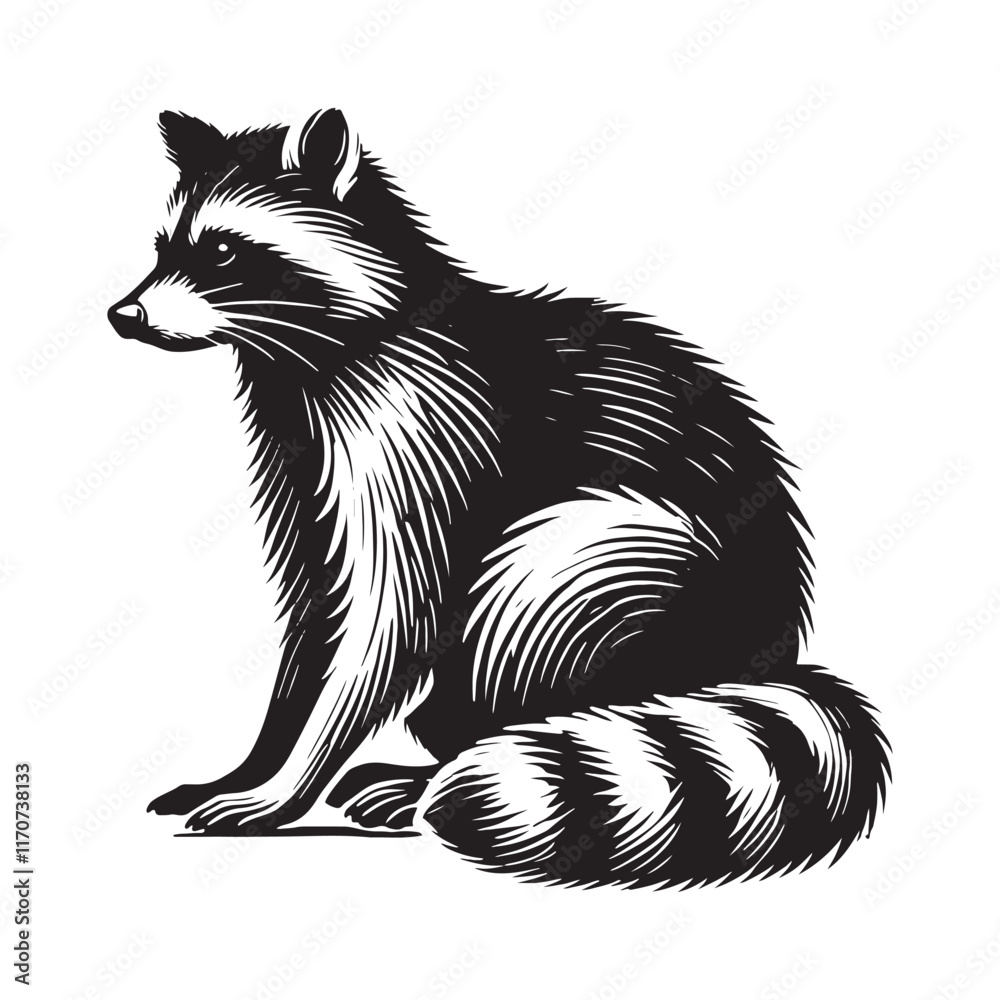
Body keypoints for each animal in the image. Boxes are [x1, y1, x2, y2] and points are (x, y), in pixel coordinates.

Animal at [107, 109, 889, 888]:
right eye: (163, 249)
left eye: (222, 252)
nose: (123, 315)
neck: (310, 353)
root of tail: (764, 656)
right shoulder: (309, 462)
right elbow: (315, 617)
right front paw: (255, 764)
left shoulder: (420, 439)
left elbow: (385, 625)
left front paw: (287, 782)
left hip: (630, 567)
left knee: (539, 574)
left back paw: (454, 764)